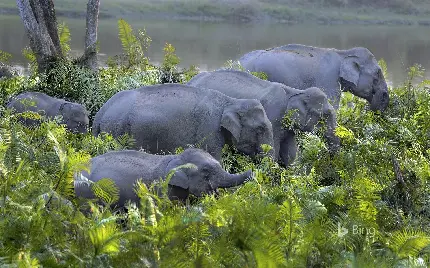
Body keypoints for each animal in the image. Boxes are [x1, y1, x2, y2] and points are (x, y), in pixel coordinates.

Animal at [93, 82, 276, 160]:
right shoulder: (208, 128)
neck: (230, 101)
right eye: (260, 129)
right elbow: (213, 157)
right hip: (116, 130)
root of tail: (101, 111)